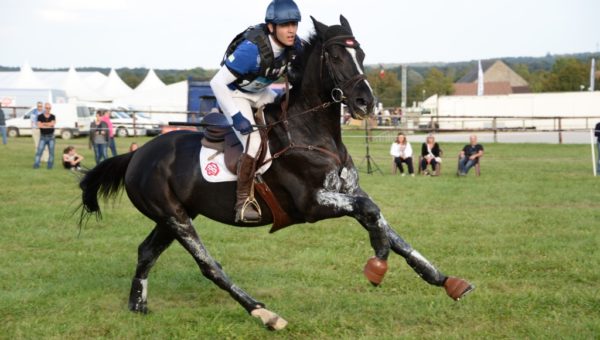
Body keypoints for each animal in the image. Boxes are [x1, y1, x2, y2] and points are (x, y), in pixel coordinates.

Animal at [78, 15, 474, 330]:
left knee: (146, 251)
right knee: (208, 265)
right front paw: (377, 262)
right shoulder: (313, 204)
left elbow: (386, 225)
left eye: (361, 54)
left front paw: (445, 280)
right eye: (335, 56)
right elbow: (373, 215)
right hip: (175, 217)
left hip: (173, 215)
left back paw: (138, 304)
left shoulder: (349, 193)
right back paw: (263, 313)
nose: (366, 102)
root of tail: (137, 155)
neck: (313, 133)